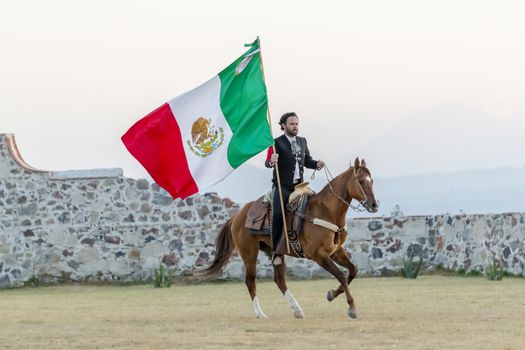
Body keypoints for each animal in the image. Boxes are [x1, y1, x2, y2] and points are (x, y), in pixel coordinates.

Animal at [201, 157, 376, 318]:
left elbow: (352, 271)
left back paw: (297, 309)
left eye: (371, 181)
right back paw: (260, 314)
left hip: (275, 252)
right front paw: (351, 308)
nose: (375, 205)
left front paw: (332, 294)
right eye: (361, 181)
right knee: (250, 281)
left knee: (279, 280)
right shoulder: (318, 254)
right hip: (249, 253)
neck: (326, 211)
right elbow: (340, 275)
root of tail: (238, 215)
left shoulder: (335, 251)